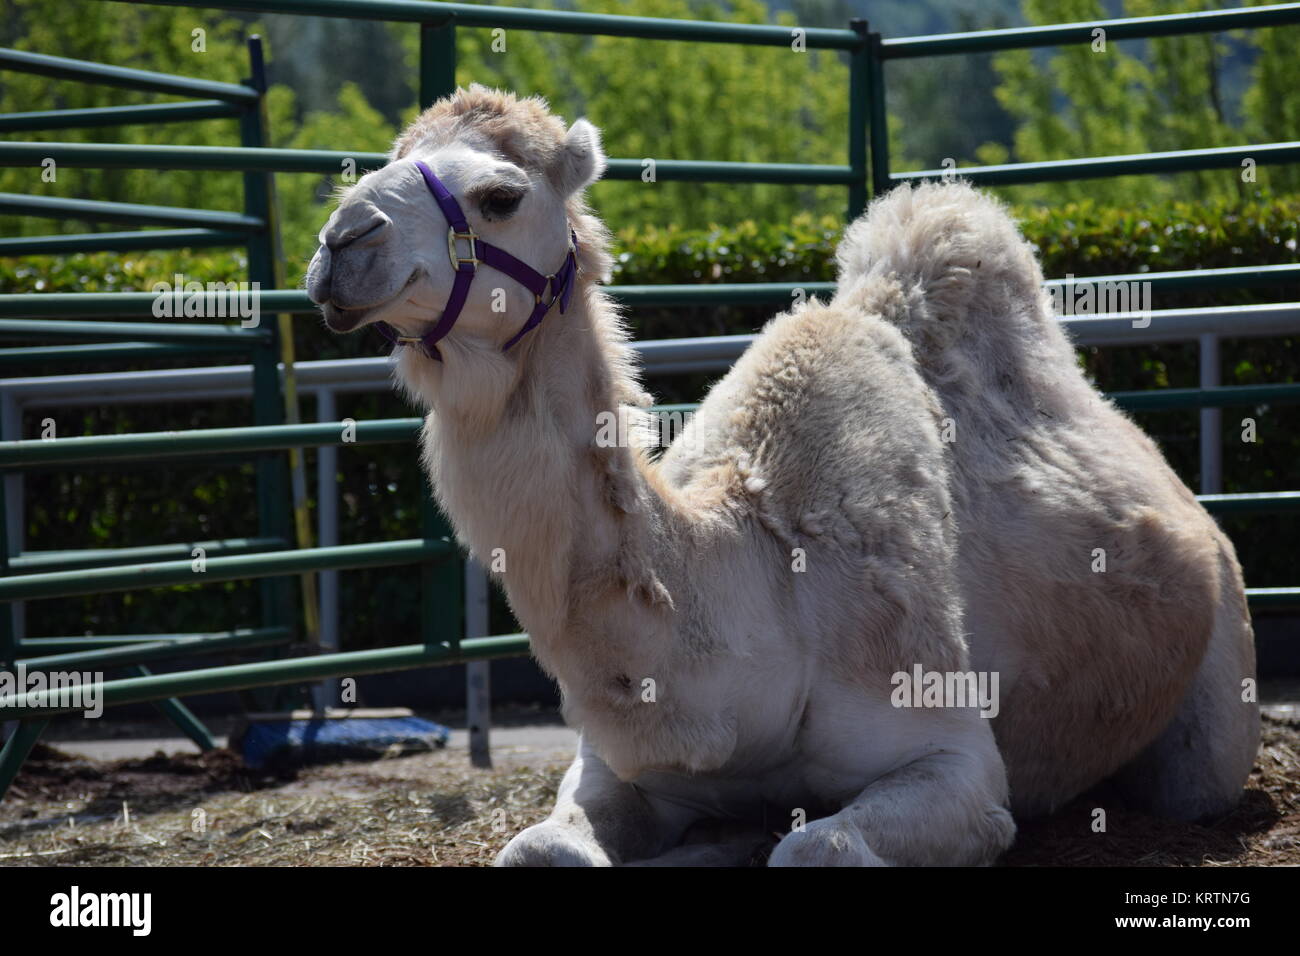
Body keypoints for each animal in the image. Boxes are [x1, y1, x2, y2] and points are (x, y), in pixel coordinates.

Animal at [305, 86, 1258, 865]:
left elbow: (818, 847)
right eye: (385, 161)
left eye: (500, 197)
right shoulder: (617, 763)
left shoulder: (953, 752)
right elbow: (540, 849)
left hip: (1219, 691)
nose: (341, 242)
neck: (752, 575)